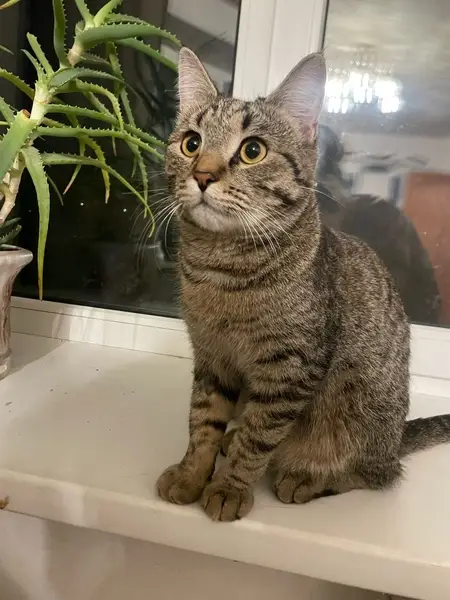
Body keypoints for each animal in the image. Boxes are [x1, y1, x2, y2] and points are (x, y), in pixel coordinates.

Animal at [156, 48, 450, 522]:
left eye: (252, 151)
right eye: (191, 143)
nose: (202, 175)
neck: (222, 268)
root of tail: (396, 437)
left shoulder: (290, 368)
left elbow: (259, 436)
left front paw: (230, 487)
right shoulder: (211, 355)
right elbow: (202, 421)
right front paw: (191, 474)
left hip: (361, 415)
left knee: (377, 474)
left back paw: (306, 478)